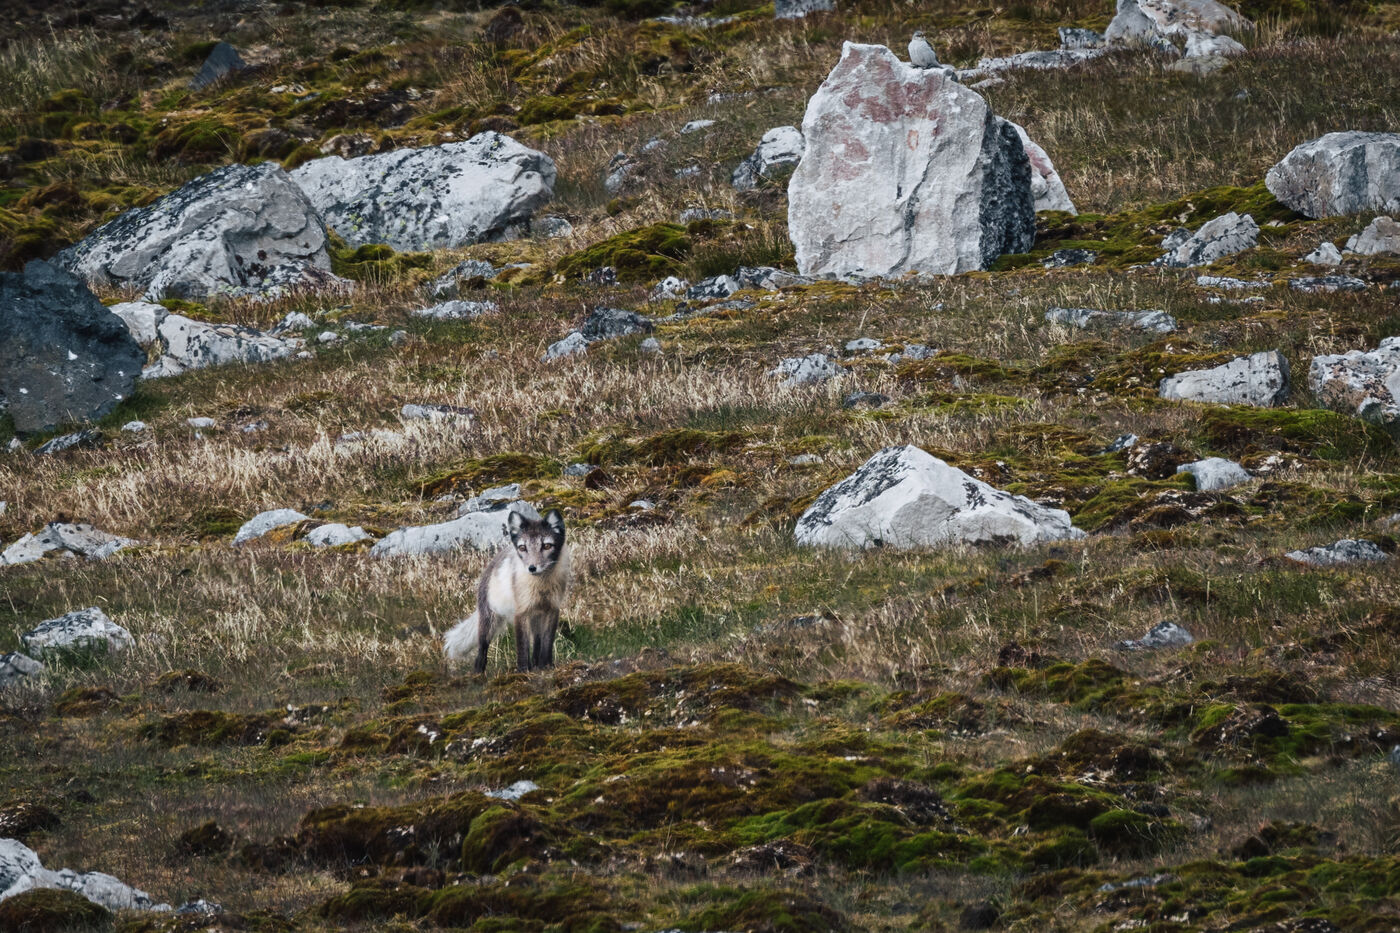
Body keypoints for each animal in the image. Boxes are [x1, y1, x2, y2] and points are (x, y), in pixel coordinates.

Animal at [443, 508, 571, 674]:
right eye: (523, 548)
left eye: (547, 546)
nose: (532, 568)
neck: (541, 587)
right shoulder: (521, 612)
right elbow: (522, 646)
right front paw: (523, 670)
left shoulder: (552, 609)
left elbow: (547, 643)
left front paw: (546, 666)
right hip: (489, 620)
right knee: (482, 650)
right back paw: (478, 673)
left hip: (535, 617)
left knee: (537, 642)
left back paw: (536, 665)